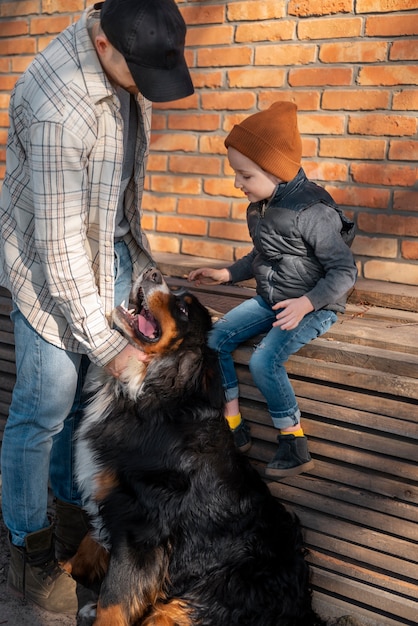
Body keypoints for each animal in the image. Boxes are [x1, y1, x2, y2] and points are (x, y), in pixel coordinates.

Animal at [67, 266, 324, 620]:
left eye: (183, 309)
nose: (151, 272)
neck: (149, 392)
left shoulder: (141, 527)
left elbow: (114, 600)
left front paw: (99, 607)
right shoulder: (109, 494)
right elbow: (86, 547)